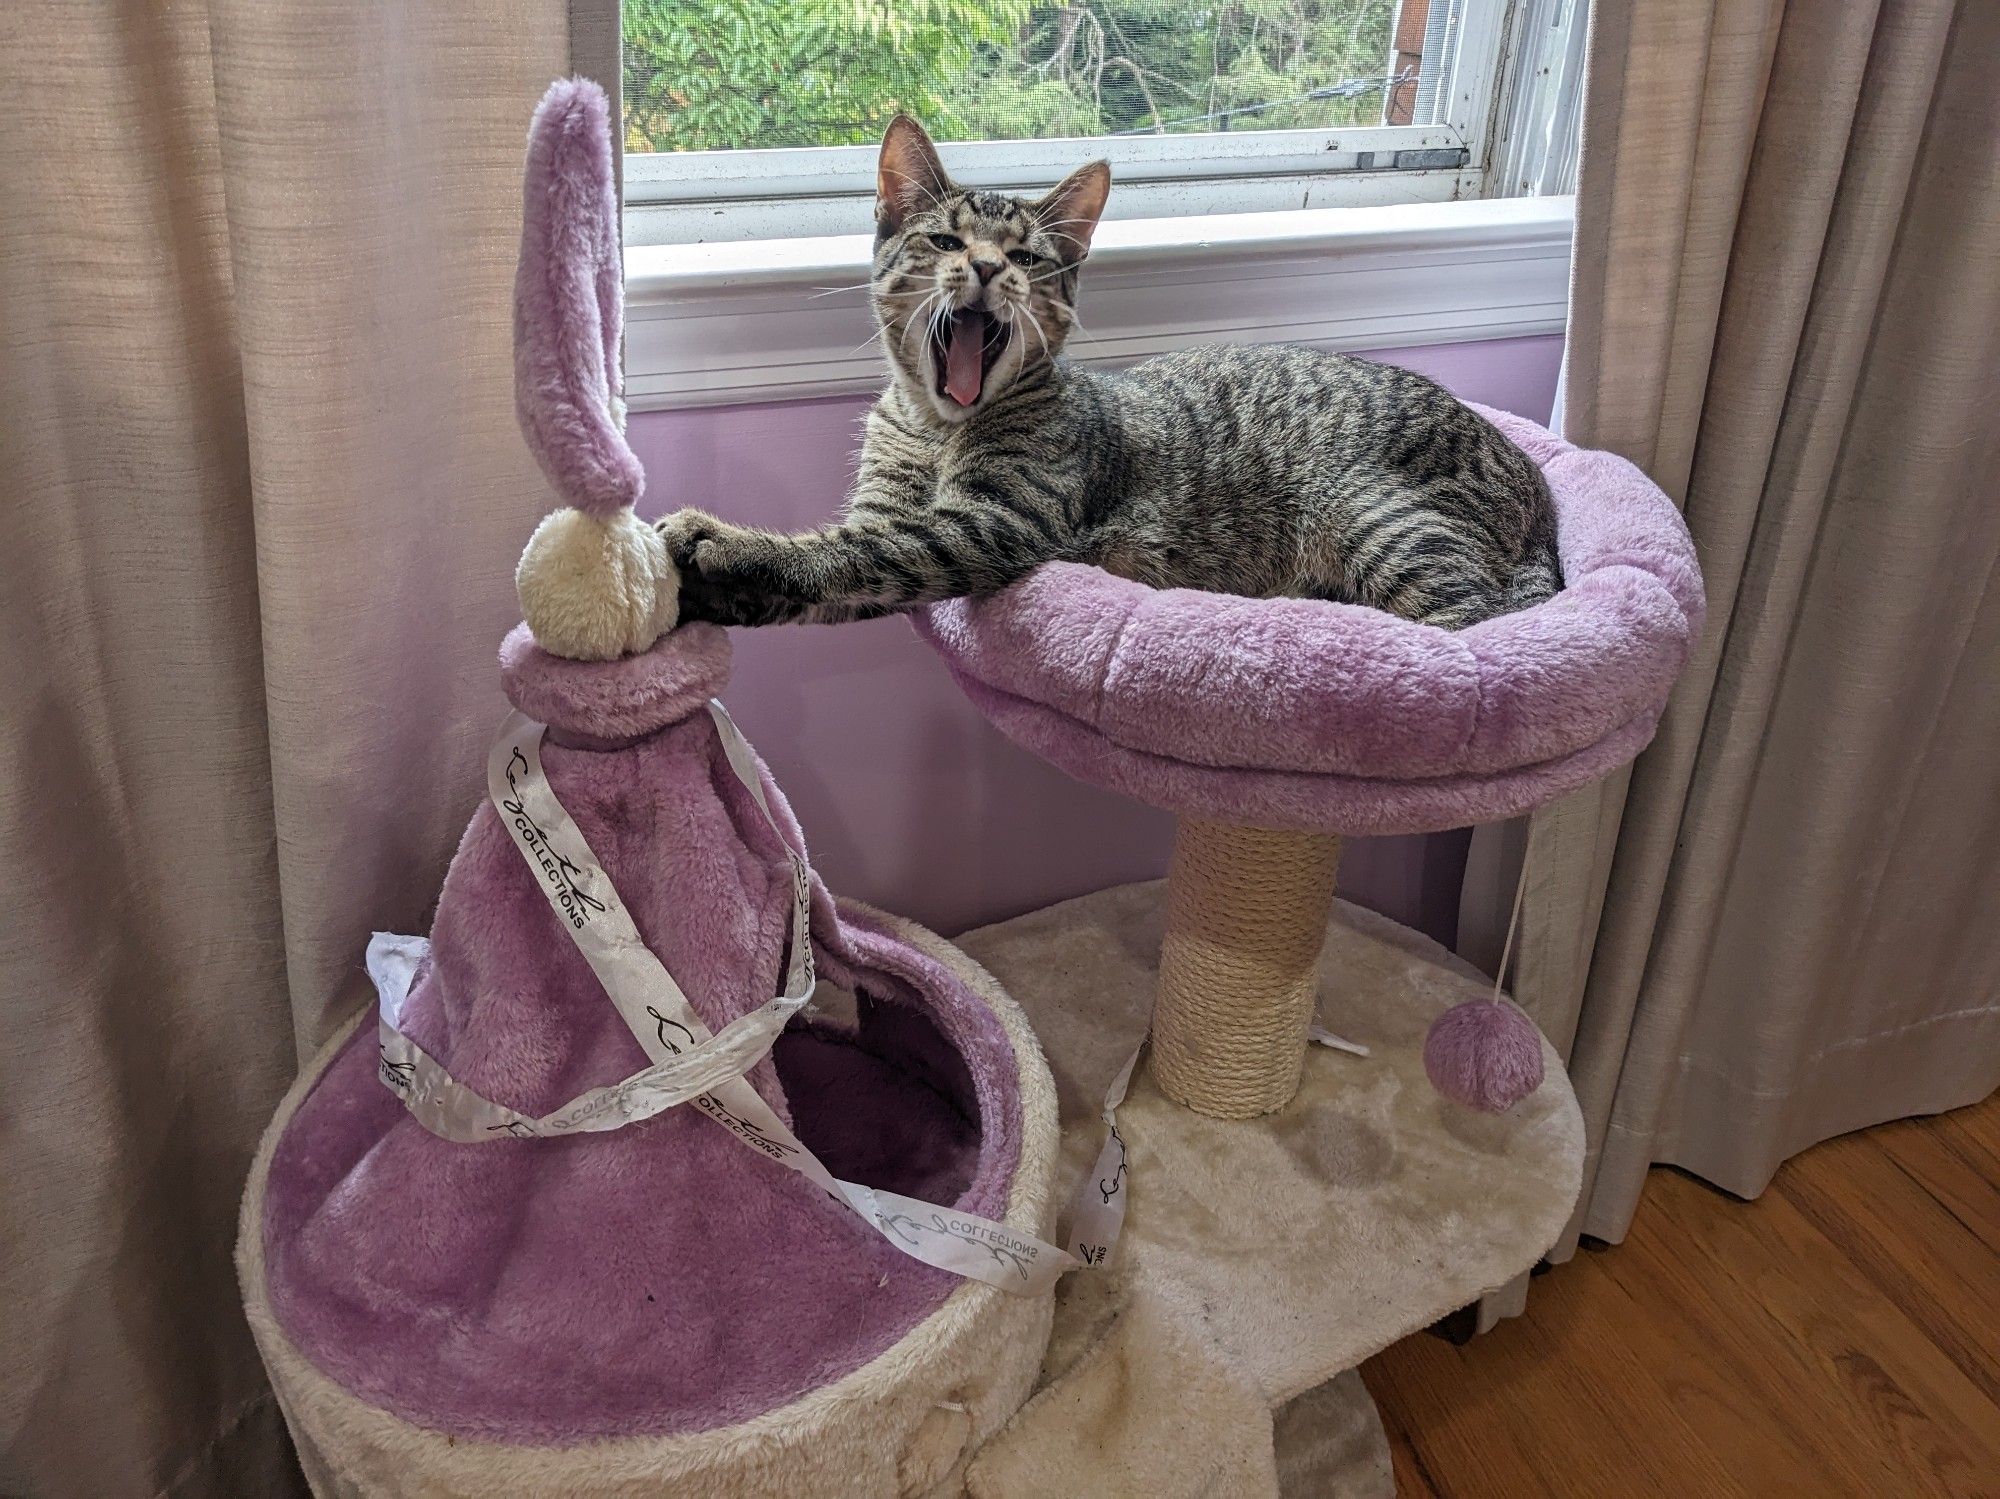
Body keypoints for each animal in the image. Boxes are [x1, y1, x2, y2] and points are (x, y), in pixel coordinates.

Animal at [660, 118, 1560, 627]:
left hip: (1386, 521)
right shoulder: (893, 510)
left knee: (1474, 639)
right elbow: (847, 561)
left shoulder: (994, 520)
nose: (985, 267)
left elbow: (857, 549)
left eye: (1026, 257)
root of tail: (1534, 480)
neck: (935, 426)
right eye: (946, 241)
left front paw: (723, 539)